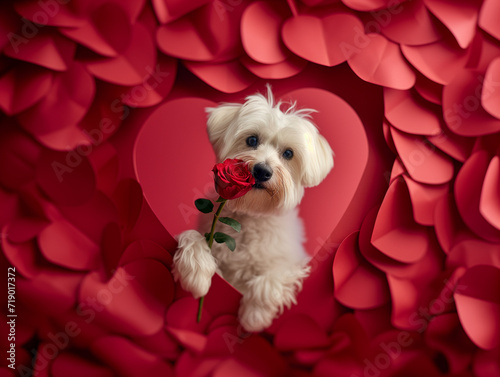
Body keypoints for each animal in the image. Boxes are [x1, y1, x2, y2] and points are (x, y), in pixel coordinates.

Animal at [171, 86, 332, 330]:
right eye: (252, 140)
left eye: (288, 153)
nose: (262, 171)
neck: (248, 218)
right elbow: (192, 237)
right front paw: (197, 274)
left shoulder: (292, 261)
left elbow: (274, 276)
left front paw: (255, 315)